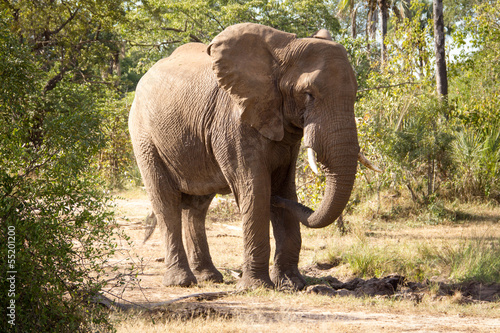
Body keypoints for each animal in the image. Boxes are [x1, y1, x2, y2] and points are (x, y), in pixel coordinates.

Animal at [131, 23, 370, 290]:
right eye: (308, 94)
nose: (276, 200)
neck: (281, 52)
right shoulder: (233, 122)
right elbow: (255, 189)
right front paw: (257, 287)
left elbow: (285, 186)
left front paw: (291, 284)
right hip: (144, 136)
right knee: (166, 202)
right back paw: (181, 283)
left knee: (197, 207)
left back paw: (209, 277)